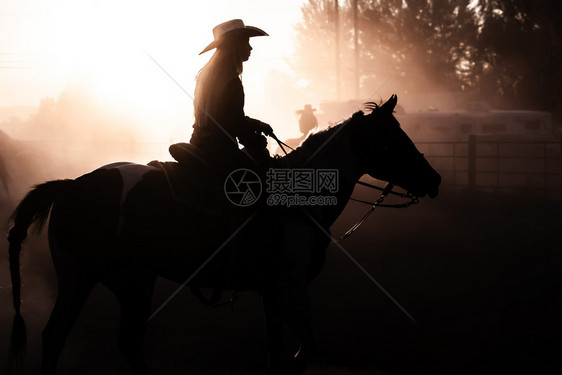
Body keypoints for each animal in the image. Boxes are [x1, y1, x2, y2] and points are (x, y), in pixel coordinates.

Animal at [6, 96, 440, 375]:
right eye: (393, 139)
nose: (434, 179)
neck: (297, 199)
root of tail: (71, 186)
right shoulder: (290, 285)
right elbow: (304, 350)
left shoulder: (271, 291)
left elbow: (276, 352)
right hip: (117, 282)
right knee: (103, 339)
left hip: (94, 279)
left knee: (63, 337)